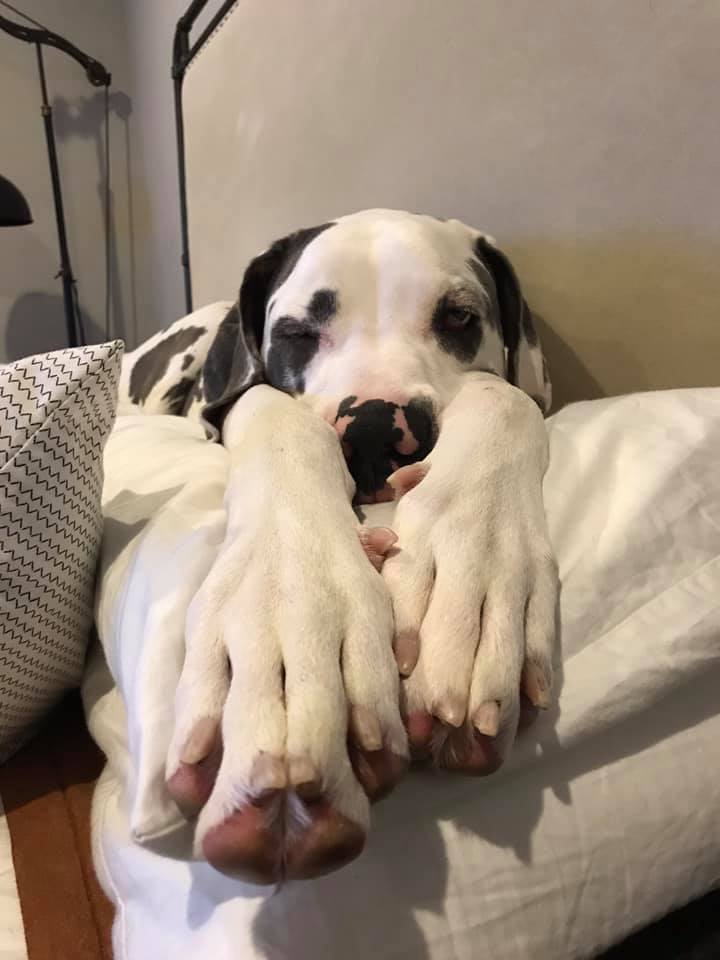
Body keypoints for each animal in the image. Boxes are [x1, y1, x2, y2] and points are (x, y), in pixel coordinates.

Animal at [119, 208, 556, 884]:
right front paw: (289, 620)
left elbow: (502, 395)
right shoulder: (242, 404)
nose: (376, 429)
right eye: (297, 333)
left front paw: (473, 583)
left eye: (459, 317)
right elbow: (273, 412)